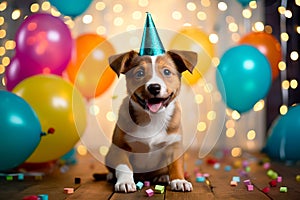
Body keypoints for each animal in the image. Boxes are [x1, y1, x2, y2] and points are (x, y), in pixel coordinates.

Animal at [104, 48, 198, 192]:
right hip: (109, 154)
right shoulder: (120, 147)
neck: (153, 118)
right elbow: (124, 166)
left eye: (167, 72)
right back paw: (110, 175)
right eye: (140, 73)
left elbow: (176, 165)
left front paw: (179, 180)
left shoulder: (174, 145)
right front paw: (125, 182)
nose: (154, 87)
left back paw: (163, 176)